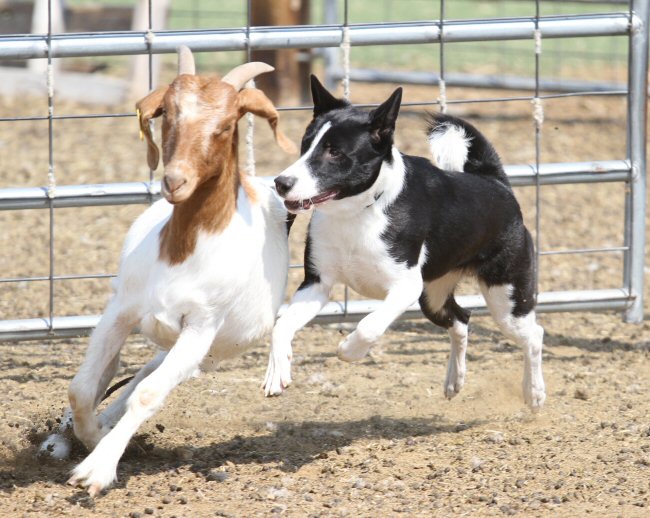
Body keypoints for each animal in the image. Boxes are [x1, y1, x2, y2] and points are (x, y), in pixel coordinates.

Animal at [43, 46, 298, 498]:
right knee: (119, 374)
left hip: (196, 348)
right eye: (168, 115)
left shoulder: (200, 328)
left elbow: (147, 394)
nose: (175, 181)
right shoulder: (120, 310)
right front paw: (90, 437)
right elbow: (81, 387)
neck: (182, 253)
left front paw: (97, 468)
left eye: (226, 124)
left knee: (146, 377)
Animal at [260, 76, 544, 410]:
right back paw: (454, 380)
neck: (358, 211)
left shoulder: (406, 287)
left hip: (506, 299)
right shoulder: (317, 283)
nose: (281, 183)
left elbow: (369, 325)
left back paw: (534, 393)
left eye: (335, 152)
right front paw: (277, 374)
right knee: (462, 320)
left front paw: (348, 350)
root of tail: (497, 183)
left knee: (534, 334)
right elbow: (281, 325)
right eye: (306, 146)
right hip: (433, 297)